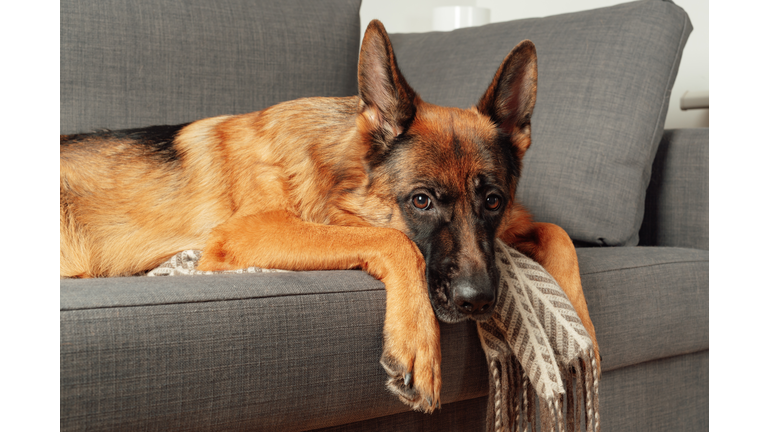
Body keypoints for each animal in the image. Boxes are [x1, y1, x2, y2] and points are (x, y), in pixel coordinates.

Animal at [61, 20, 600, 412]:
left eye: (493, 201)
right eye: (421, 201)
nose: (478, 301)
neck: (340, 174)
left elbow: (558, 232)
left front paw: (585, 333)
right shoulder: (250, 232)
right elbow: (395, 241)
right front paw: (418, 342)